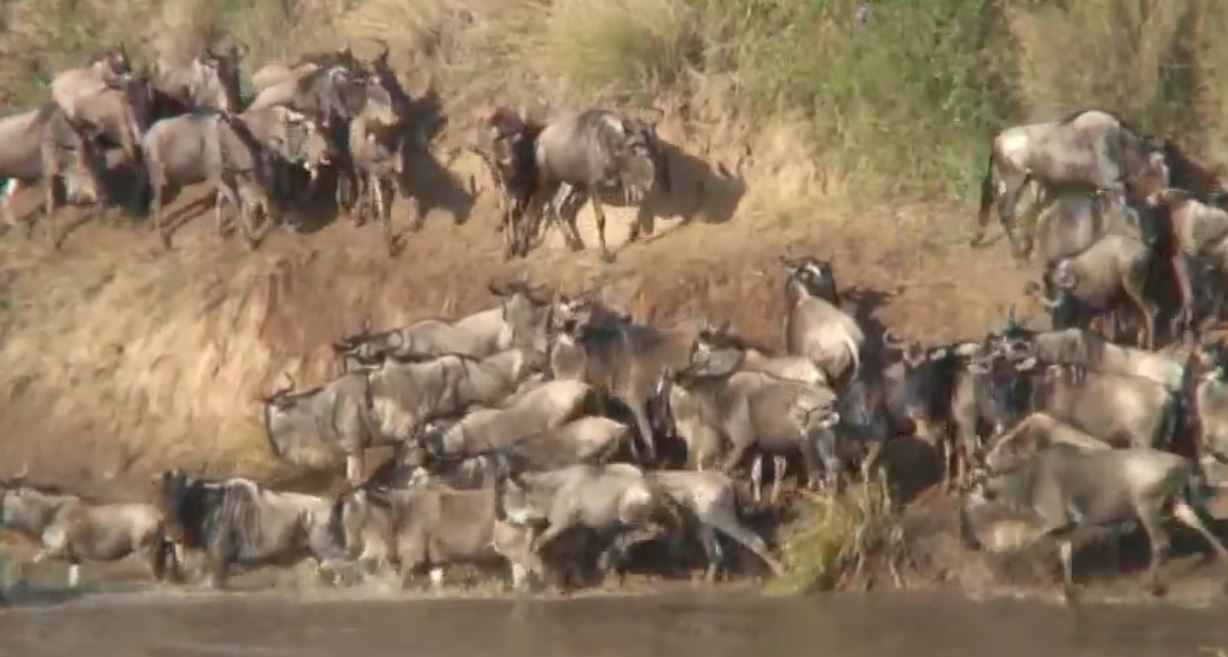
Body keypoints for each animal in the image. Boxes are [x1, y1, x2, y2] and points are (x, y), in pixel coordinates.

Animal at [0, 476, 173, 589]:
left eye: (6, 500)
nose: (3, 521)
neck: (49, 512)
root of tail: (159, 516)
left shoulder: (54, 549)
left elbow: (22, 561)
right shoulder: (74, 558)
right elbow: (73, 581)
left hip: (146, 550)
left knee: (157, 576)